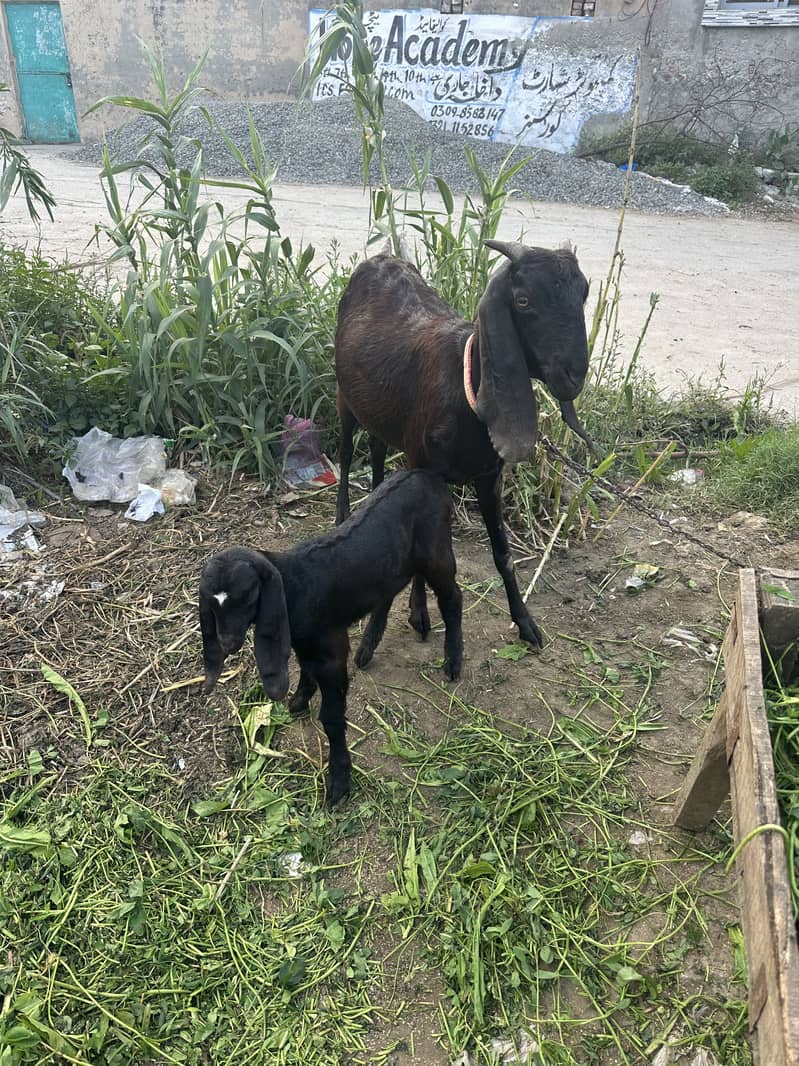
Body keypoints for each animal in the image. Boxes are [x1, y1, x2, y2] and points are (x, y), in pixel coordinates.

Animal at [199, 469, 463, 806]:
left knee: (452, 598)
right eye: (211, 604)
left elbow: (332, 717)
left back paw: (453, 661)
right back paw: (376, 643)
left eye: (248, 597)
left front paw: (339, 781)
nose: (228, 643)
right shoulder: (303, 641)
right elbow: (305, 669)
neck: (295, 584)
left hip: (437, 551)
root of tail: (425, 474)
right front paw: (300, 699)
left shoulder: (331, 650)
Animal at [334, 239, 594, 649]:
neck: (465, 386)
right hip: (344, 397)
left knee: (376, 451)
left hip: (379, 411)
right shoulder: (422, 468)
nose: (574, 375)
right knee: (345, 455)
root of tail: (381, 258)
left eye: (583, 292)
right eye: (522, 301)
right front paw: (419, 613)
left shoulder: (488, 477)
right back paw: (343, 514)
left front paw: (525, 623)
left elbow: (503, 554)